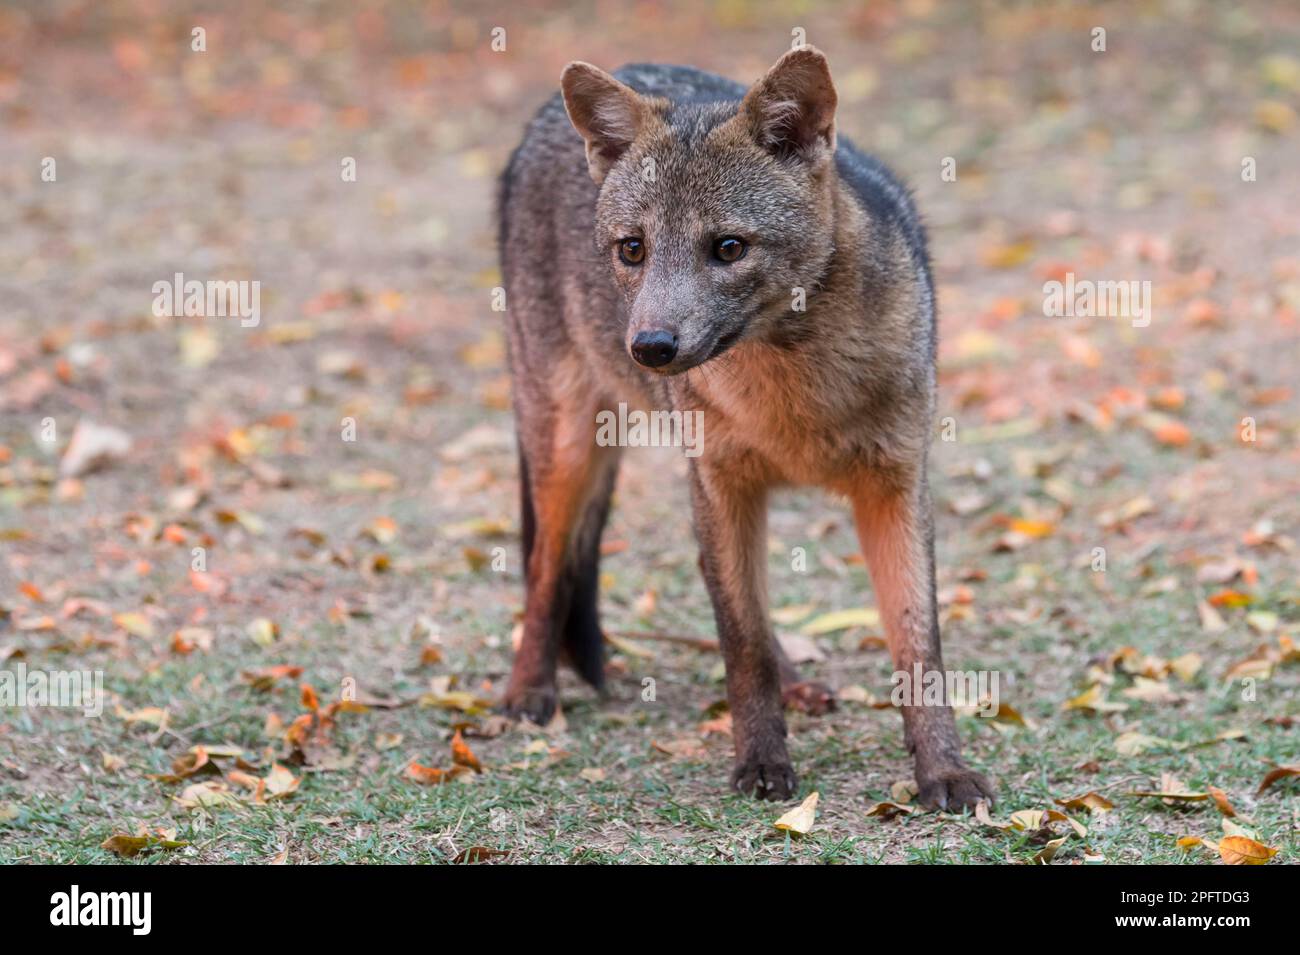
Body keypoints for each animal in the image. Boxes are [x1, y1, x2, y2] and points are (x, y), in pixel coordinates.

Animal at [496, 46, 993, 810]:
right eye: (633, 249)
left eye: (728, 247)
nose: (651, 347)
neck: (795, 396)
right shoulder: (721, 485)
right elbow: (742, 642)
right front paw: (760, 760)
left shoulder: (897, 487)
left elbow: (918, 646)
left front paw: (942, 770)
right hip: (568, 450)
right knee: (546, 566)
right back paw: (530, 690)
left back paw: (800, 685)